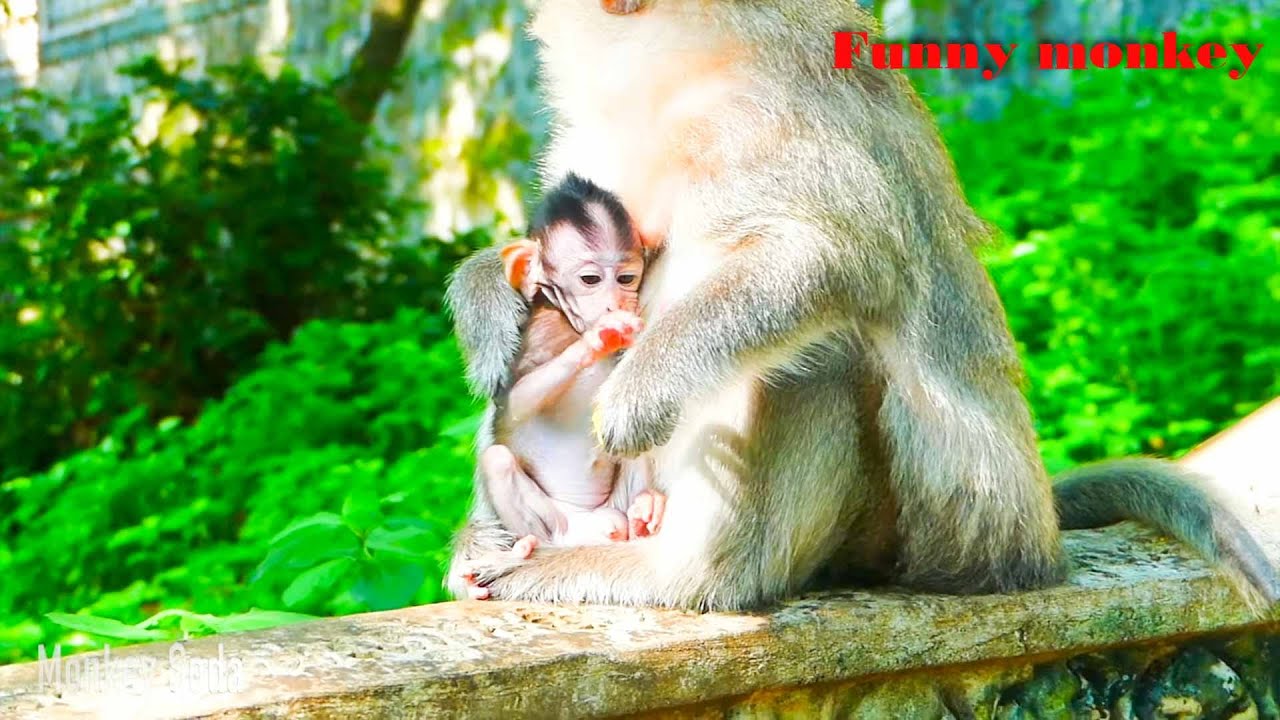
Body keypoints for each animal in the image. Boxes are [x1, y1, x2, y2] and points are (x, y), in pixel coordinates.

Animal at [479, 173, 666, 563]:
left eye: (626, 278)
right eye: (590, 280)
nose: (614, 304)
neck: (567, 322)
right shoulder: (535, 335)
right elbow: (514, 403)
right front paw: (593, 341)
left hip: (615, 503)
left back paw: (643, 509)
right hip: (558, 518)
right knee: (498, 461)